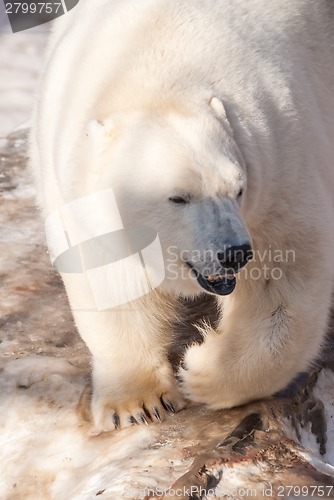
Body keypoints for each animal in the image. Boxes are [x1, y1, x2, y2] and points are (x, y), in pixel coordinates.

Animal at [30, 0, 334, 432]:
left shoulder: (279, 160)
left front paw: (203, 369)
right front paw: (136, 405)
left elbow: (282, 281)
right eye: (178, 197)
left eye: (238, 188)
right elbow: (110, 276)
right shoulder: (73, 183)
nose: (234, 253)